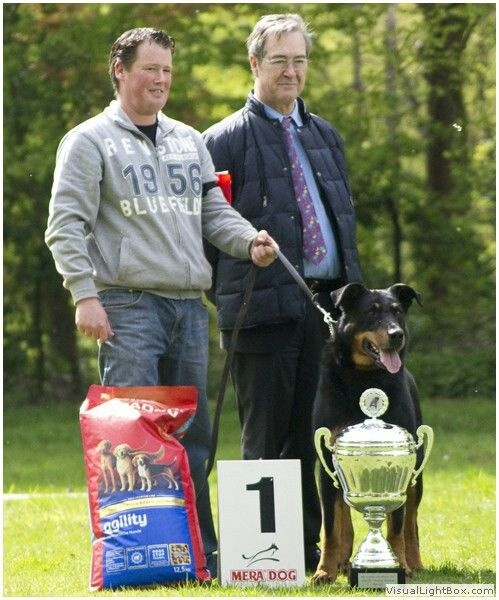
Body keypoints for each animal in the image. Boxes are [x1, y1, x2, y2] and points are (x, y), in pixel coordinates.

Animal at [312, 282, 423, 584]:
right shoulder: (327, 463)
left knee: (411, 522)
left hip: (417, 473)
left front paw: (400, 565)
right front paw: (324, 571)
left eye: (397, 312)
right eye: (371, 313)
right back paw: (343, 562)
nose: (397, 334)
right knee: (343, 519)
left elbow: (397, 527)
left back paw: (415, 561)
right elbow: (330, 527)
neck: (364, 376)